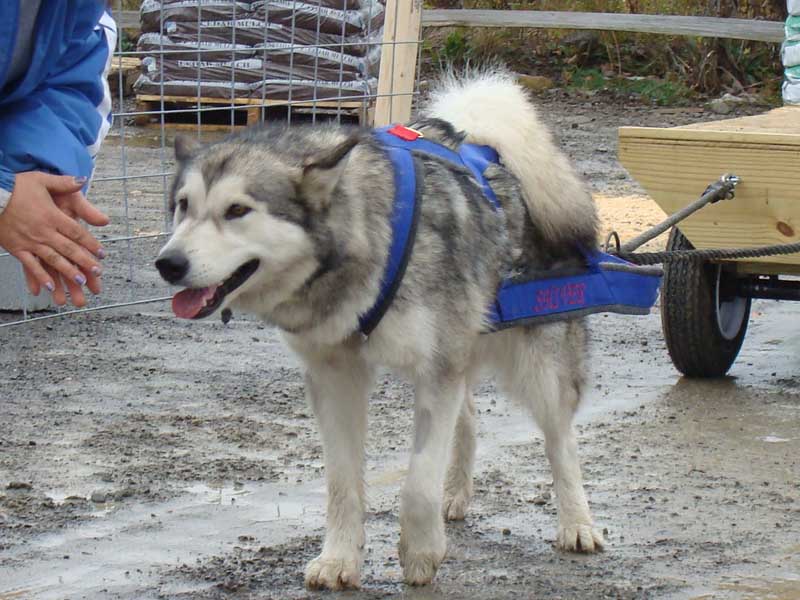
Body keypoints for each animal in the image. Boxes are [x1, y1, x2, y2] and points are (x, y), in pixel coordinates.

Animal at [156, 68, 604, 588]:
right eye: (183, 206)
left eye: (237, 211)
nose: (168, 263)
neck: (369, 240)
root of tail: (490, 149)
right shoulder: (336, 378)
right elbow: (342, 483)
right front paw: (339, 559)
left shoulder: (434, 373)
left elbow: (418, 482)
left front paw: (421, 552)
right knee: (469, 417)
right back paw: (457, 493)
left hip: (539, 366)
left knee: (561, 441)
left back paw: (577, 524)